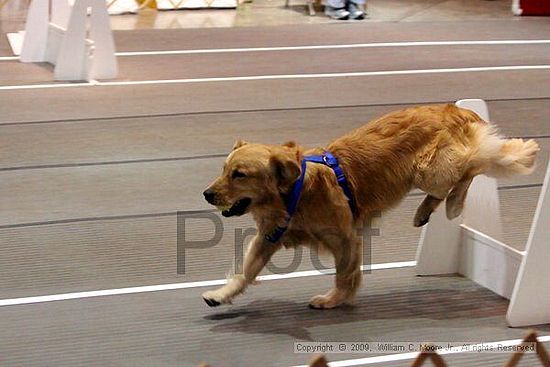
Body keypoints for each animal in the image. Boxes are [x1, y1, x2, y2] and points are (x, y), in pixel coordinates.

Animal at [202, 103, 540, 310]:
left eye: (239, 174)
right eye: (223, 169)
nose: (206, 194)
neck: (293, 195)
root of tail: (458, 109)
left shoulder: (346, 239)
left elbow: (344, 275)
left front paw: (334, 299)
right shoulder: (269, 238)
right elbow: (244, 271)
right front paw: (220, 295)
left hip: (430, 169)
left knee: (476, 162)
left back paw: (459, 199)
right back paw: (424, 212)